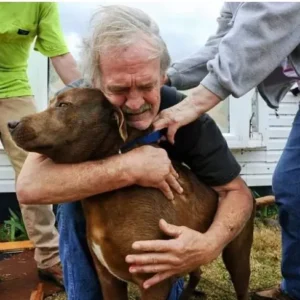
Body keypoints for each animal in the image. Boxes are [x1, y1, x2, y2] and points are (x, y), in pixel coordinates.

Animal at [8, 87, 254, 300]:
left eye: (64, 105)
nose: (11, 123)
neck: (107, 198)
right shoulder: (108, 278)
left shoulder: (153, 281)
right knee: (196, 271)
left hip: (237, 254)